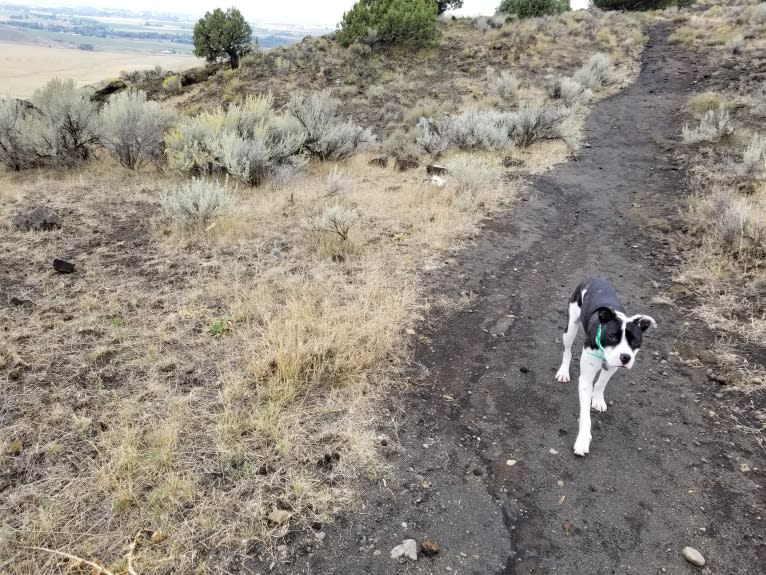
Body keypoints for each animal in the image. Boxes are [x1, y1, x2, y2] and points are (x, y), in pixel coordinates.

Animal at [556, 276, 656, 456]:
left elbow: (601, 383)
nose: (625, 357)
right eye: (612, 337)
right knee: (567, 350)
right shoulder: (585, 380)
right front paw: (583, 440)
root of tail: (593, 276)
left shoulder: (613, 366)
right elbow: (585, 416)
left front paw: (597, 399)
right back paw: (563, 371)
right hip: (571, 326)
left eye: (635, 341)